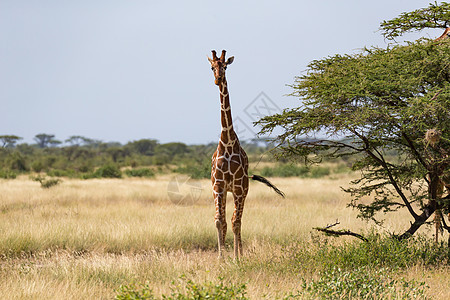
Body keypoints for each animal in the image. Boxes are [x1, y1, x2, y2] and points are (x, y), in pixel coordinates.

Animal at [208, 50, 284, 258]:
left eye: (225, 66)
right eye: (212, 67)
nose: (218, 79)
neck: (227, 141)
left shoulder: (238, 188)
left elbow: (235, 222)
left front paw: (237, 257)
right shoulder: (218, 186)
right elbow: (219, 221)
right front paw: (221, 257)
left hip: (243, 190)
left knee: (238, 220)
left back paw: (239, 253)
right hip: (227, 191)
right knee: (227, 220)